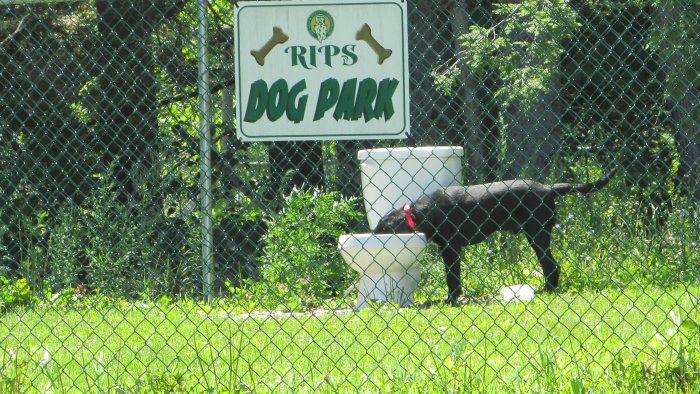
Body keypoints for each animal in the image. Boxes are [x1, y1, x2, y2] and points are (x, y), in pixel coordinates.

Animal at [374, 169, 616, 302]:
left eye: (382, 229)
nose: (372, 235)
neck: (420, 213)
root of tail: (548, 189)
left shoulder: (451, 249)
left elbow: (453, 278)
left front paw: (451, 299)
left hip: (537, 234)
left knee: (551, 266)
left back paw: (547, 290)